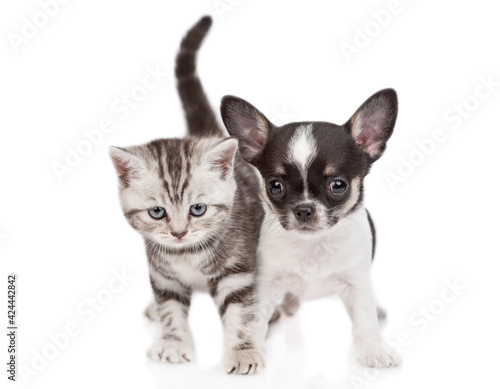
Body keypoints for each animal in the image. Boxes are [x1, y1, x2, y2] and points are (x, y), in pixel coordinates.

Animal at [110, 17, 266, 372]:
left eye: (198, 209)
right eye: (157, 212)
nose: (179, 233)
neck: (188, 254)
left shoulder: (238, 270)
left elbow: (240, 313)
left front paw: (243, 351)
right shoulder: (162, 275)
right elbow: (170, 309)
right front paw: (172, 341)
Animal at [221, 88, 400, 366]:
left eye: (338, 185)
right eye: (275, 186)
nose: (304, 209)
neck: (312, 245)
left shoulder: (357, 283)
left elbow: (365, 319)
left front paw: (375, 350)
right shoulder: (265, 284)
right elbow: (255, 319)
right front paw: (251, 350)